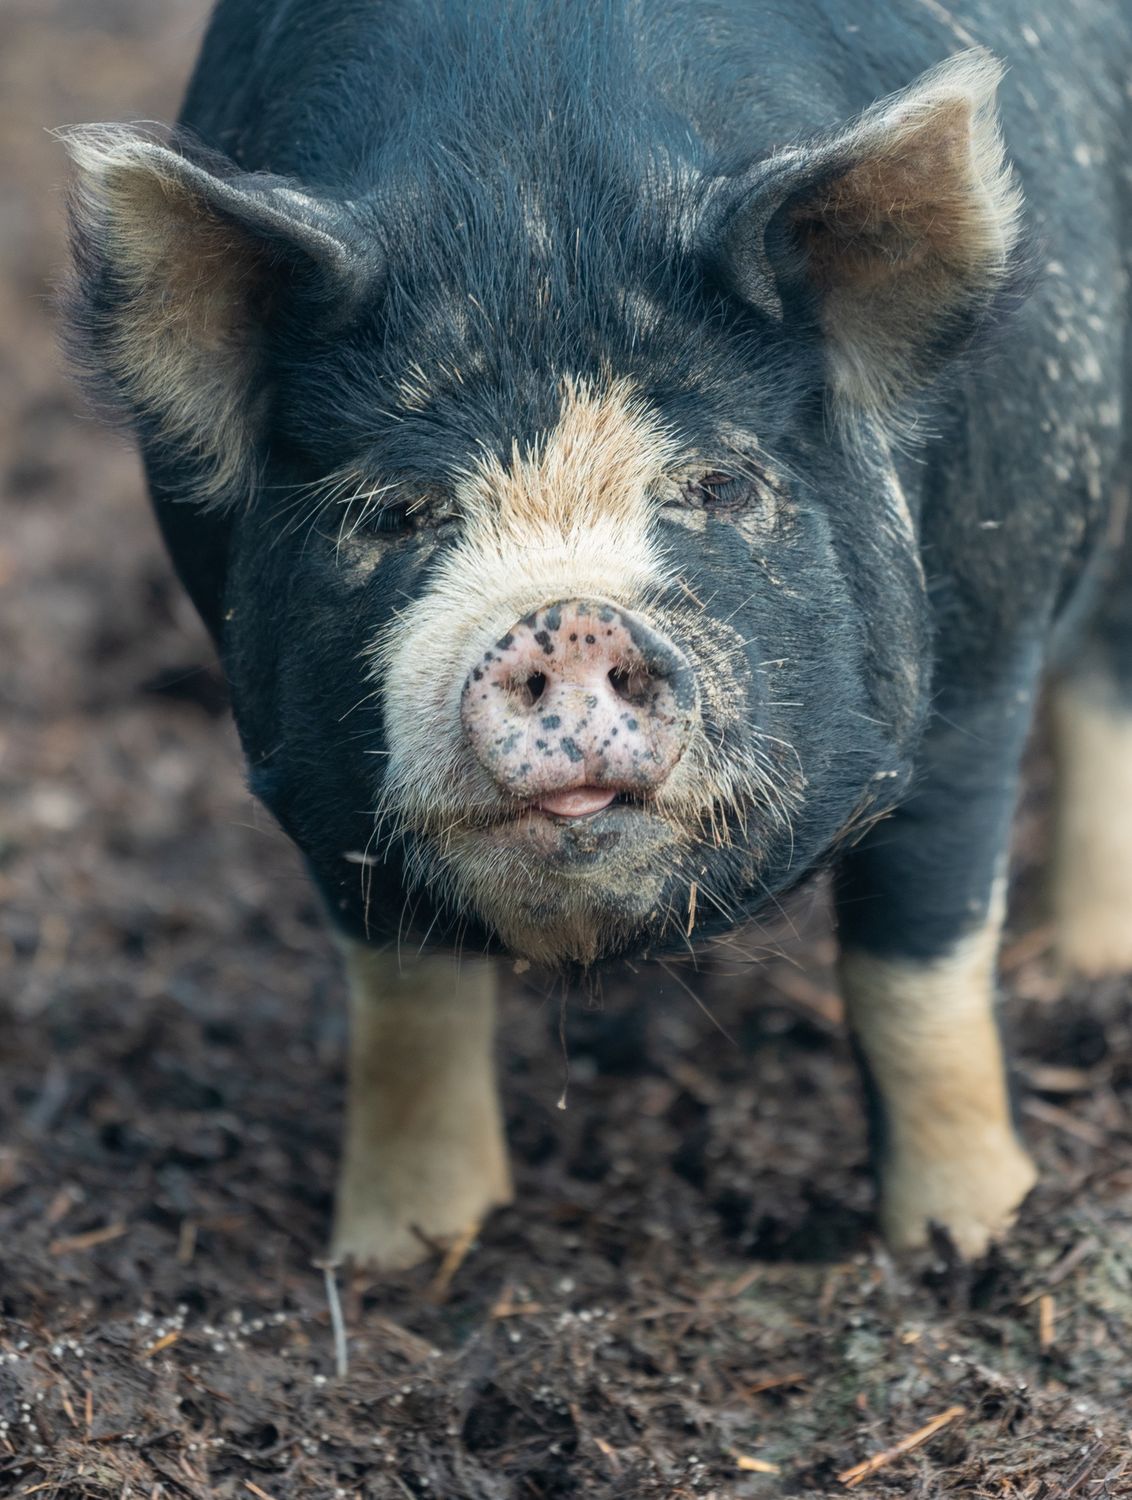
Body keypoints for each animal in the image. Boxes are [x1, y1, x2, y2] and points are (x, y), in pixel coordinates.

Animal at [63, 0, 1132, 1268]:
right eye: (396, 511)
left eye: (717, 483)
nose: (563, 623)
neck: (537, 191)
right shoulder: (310, 776)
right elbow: (407, 1001)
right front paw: (396, 1255)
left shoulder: (980, 661)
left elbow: (918, 961)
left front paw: (971, 1237)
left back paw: (1088, 964)